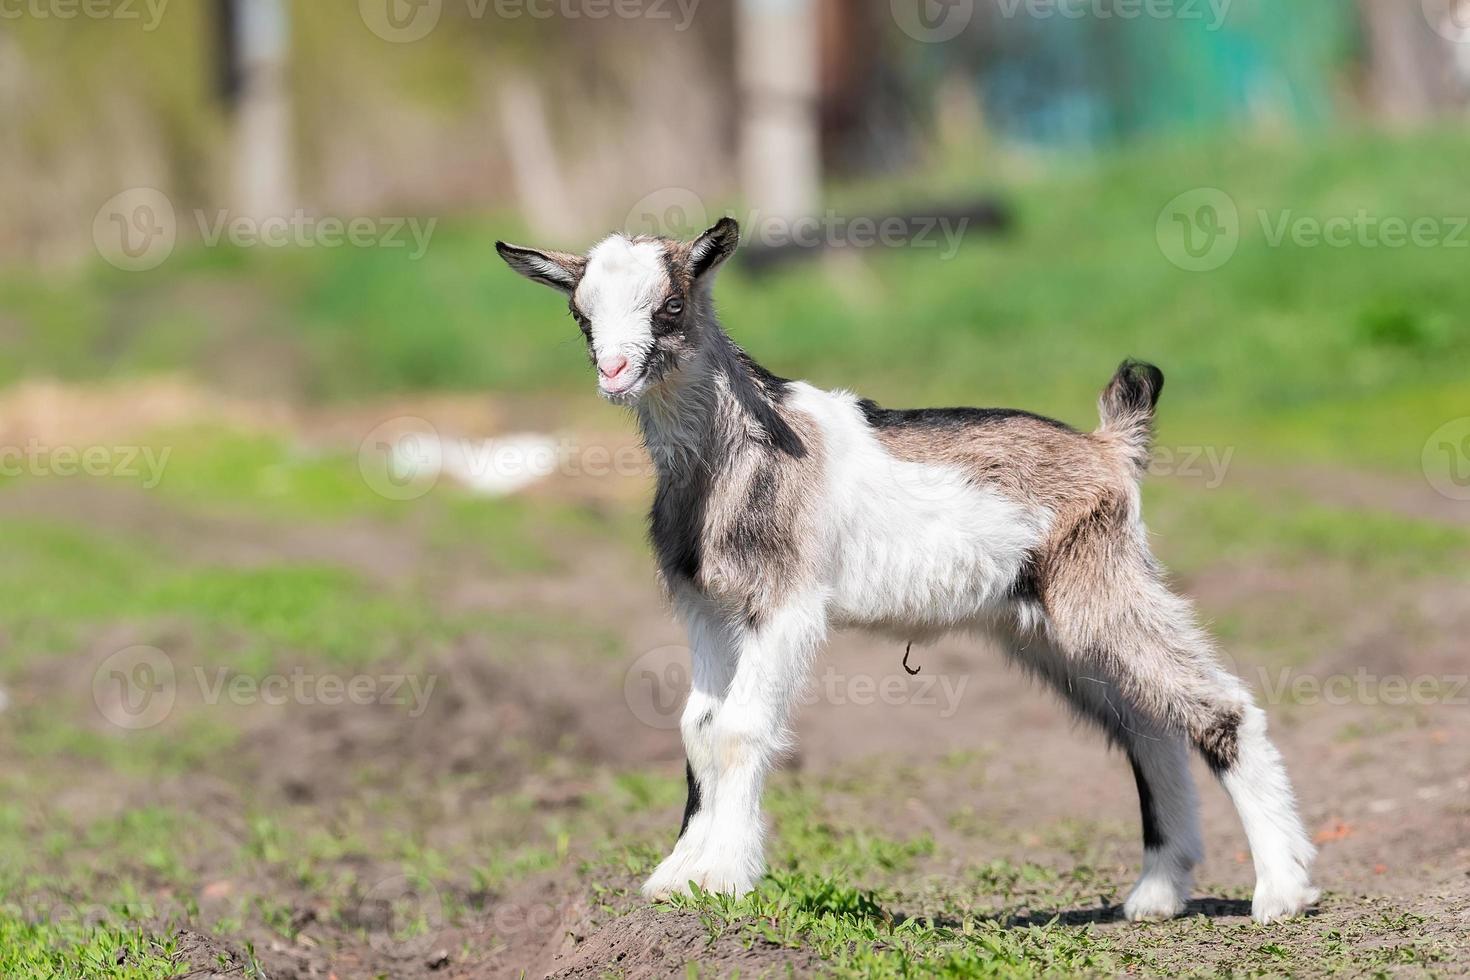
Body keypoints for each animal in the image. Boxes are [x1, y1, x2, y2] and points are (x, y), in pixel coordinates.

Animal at [496, 218, 1323, 922]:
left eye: (669, 305)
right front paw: (678, 875)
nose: (614, 370)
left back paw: (1282, 891)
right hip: (1046, 626)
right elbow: (698, 728)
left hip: (1102, 585)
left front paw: (725, 876)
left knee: (1219, 707)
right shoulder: (707, 606)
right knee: (1148, 726)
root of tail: (1108, 447)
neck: (738, 452)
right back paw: (1157, 893)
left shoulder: (787, 604)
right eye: (581, 316)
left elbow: (740, 727)